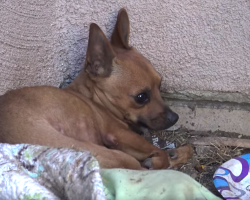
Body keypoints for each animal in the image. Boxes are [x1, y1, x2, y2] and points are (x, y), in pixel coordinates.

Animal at [0, 8, 192, 170]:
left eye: (160, 85)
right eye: (141, 97)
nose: (175, 117)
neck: (94, 99)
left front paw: (178, 153)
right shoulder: (120, 135)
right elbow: (159, 154)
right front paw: (161, 158)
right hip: (110, 154)